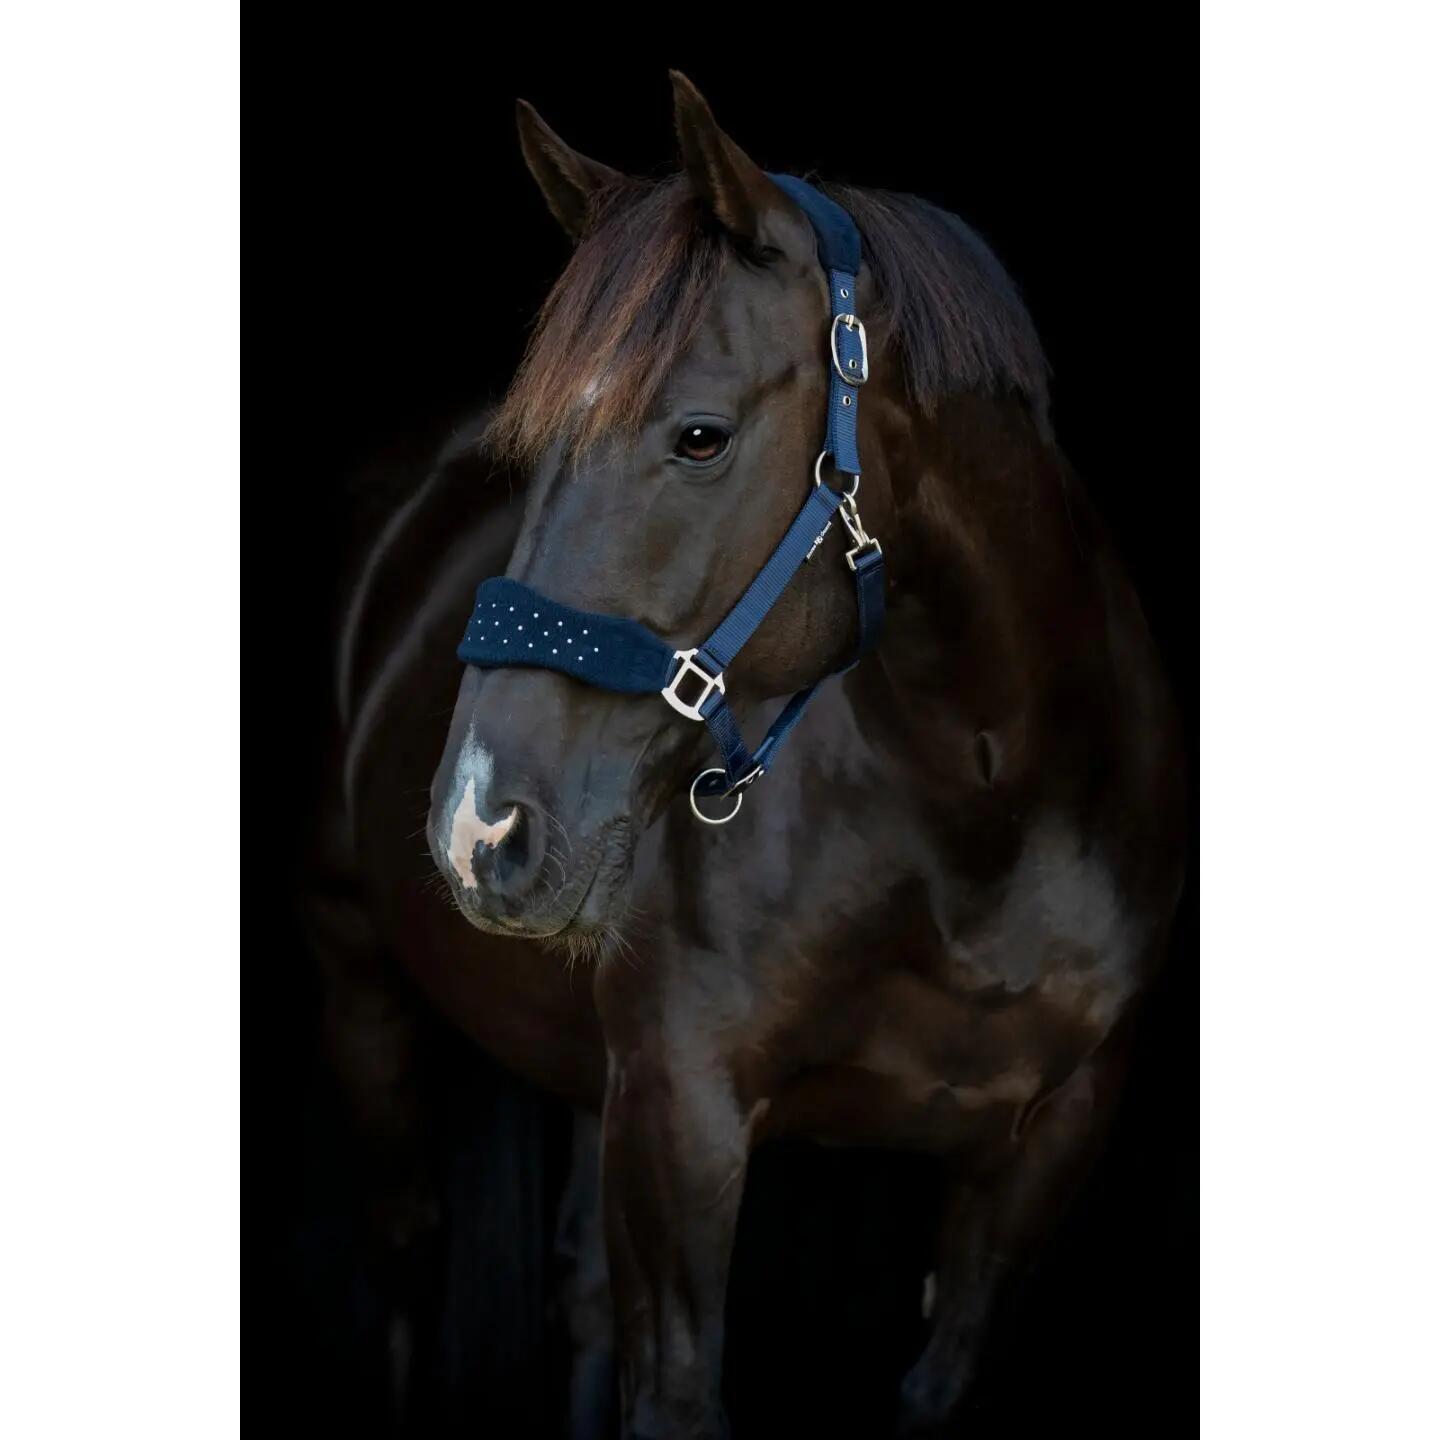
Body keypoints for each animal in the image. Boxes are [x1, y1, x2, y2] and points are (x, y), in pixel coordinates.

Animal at [312, 71, 1186, 1438]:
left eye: (702, 437)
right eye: (524, 453)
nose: (479, 830)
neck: (979, 808)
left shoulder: (1048, 1146)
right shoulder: (680, 1119)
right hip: (360, 975)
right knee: (408, 1258)